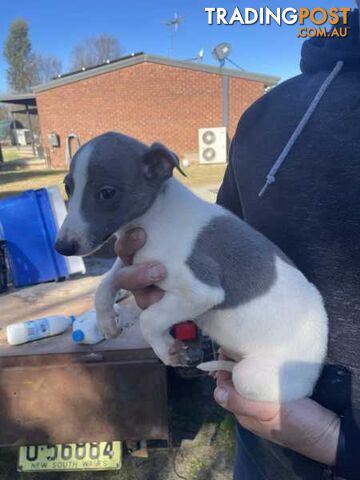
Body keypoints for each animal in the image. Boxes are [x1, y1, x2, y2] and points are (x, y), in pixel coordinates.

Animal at [54, 130, 328, 402]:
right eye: (68, 186)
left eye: (107, 192)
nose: (61, 247)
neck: (155, 216)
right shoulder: (132, 258)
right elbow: (105, 285)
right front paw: (107, 322)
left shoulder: (201, 291)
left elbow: (149, 319)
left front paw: (166, 350)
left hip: (252, 376)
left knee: (239, 373)